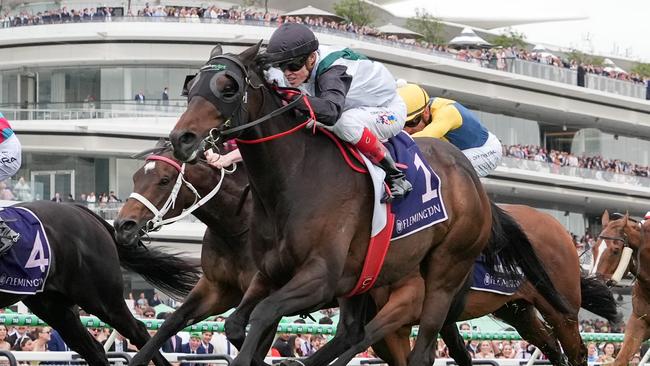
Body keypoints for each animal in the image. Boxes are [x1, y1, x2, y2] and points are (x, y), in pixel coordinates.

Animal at [166, 45, 568, 366]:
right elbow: (237, 323)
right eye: (192, 86)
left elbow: (263, 316)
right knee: (354, 332)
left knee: (423, 349)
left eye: (228, 87)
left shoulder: (320, 277)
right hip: (368, 280)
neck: (294, 176)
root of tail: (473, 180)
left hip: (445, 274)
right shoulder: (270, 273)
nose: (181, 138)